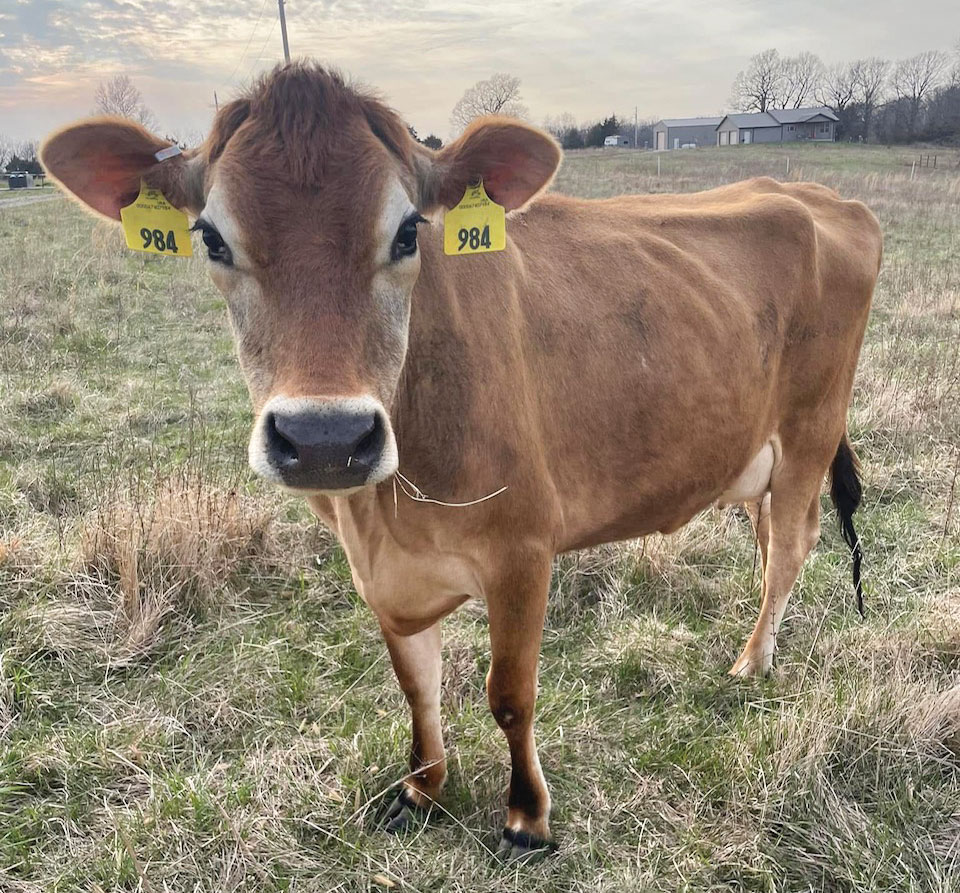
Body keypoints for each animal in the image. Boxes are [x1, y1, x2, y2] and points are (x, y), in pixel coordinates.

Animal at [43, 61, 884, 856]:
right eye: (212, 237)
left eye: (407, 232)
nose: (325, 437)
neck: (381, 515)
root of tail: (816, 194)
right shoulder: (382, 574)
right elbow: (418, 684)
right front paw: (423, 787)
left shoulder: (522, 548)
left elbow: (508, 692)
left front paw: (527, 817)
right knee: (771, 541)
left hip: (810, 428)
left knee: (793, 545)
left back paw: (752, 661)